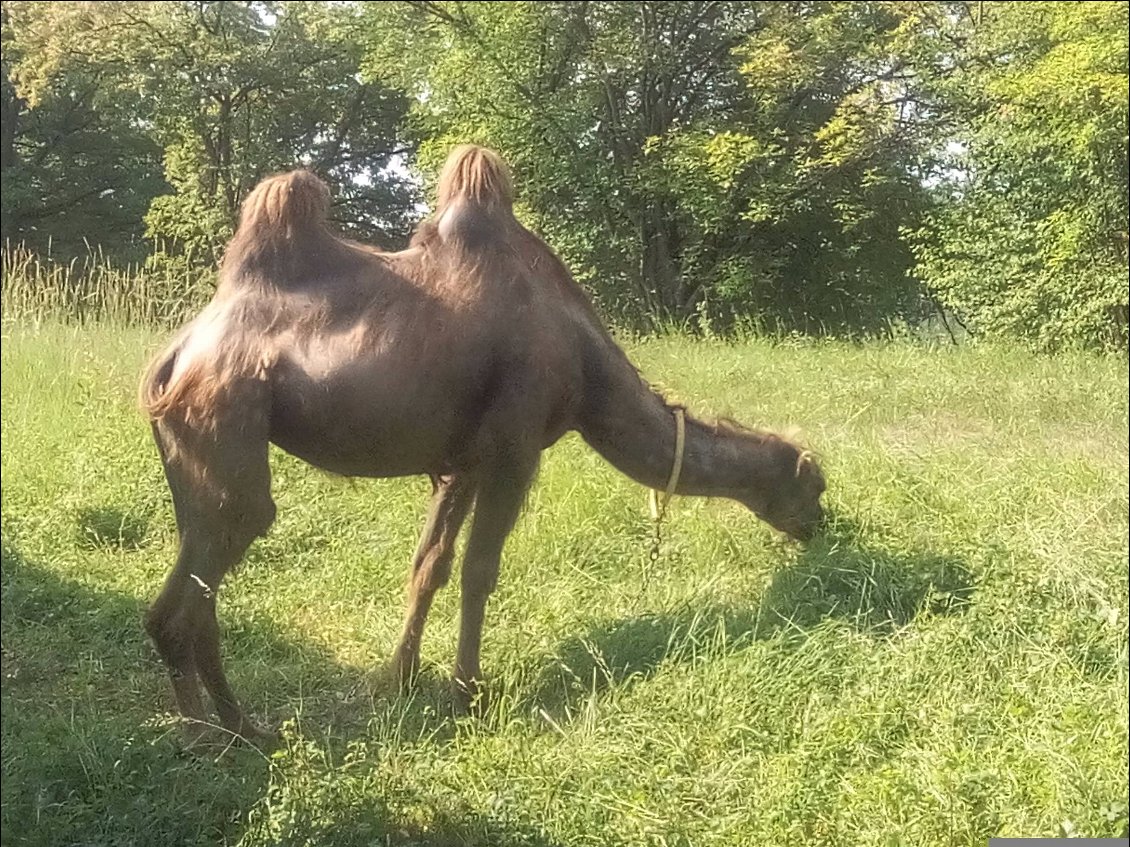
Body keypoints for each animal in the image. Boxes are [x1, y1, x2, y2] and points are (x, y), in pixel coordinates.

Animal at [141, 142, 827, 740]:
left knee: (195, 582)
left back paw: (237, 727)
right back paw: (214, 736)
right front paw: (466, 693)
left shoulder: (462, 461)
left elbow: (430, 565)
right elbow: (479, 569)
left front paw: (398, 678)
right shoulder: (513, 445)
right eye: (816, 486)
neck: (586, 365)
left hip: (194, 455)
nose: (820, 529)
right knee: (202, 577)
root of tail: (177, 355)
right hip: (226, 422)